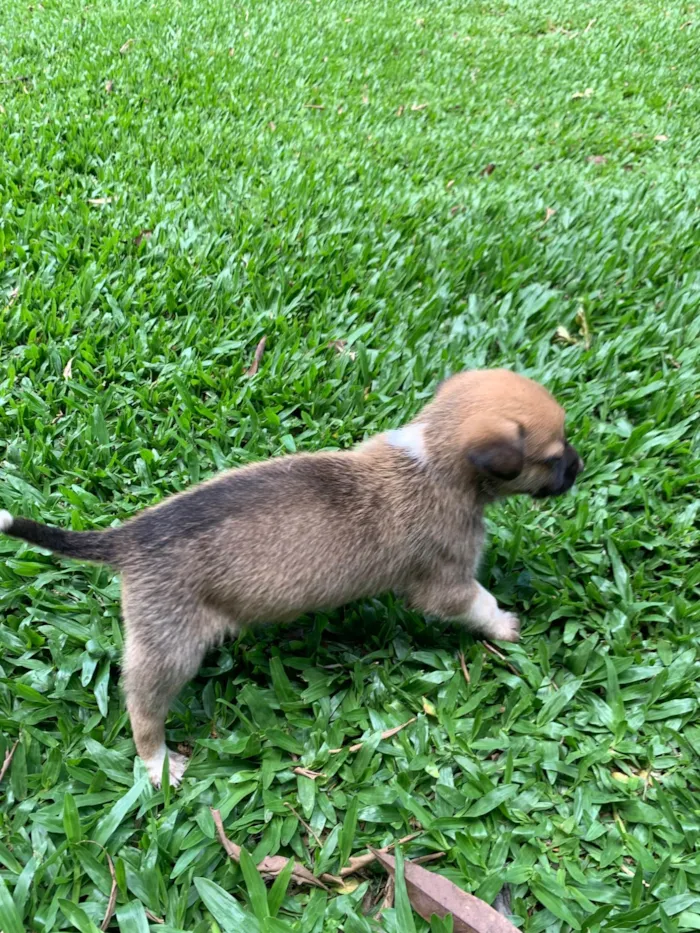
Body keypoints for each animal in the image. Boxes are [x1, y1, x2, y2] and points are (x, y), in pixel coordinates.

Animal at [1, 368, 584, 784]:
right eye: (552, 456)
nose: (580, 468)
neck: (434, 456)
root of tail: (130, 537)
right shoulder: (446, 583)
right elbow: (478, 602)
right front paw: (506, 626)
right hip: (170, 649)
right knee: (141, 705)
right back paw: (159, 763)